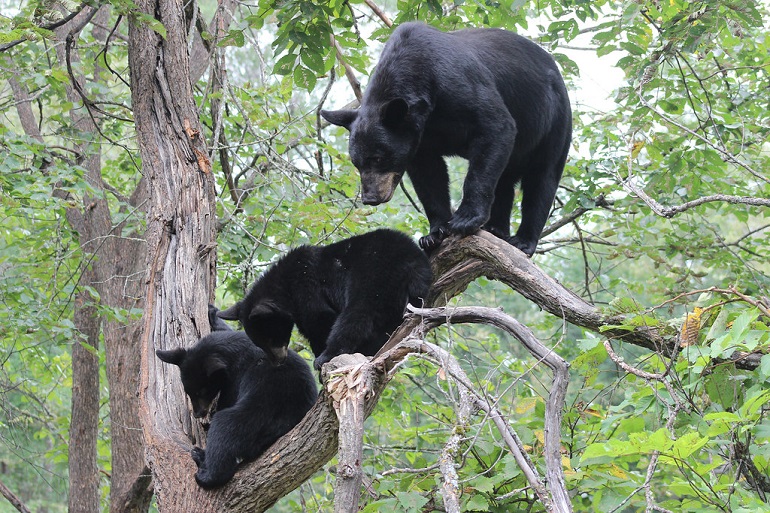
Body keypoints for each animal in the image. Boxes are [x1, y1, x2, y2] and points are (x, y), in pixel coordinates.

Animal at [155, 310, 316, 486]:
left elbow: (227, 402)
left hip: (262, 413)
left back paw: (206, 470)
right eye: (188, 391)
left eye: (202, 391)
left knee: (226, 426)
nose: (198, 413)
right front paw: (213, 313)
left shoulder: (236, 378)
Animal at [216, 228, 432, 368]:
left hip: (372, 276)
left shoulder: (306, 287)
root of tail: (409, 261)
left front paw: (320, 353)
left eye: (270, 338)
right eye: (259, 342)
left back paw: (329, 355)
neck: (284, 285)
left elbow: (320, 319)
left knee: (356, 315)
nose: (278, 361)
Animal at [320, 22, 568, 256]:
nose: (370, 197)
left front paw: (465, 219)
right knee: (505, 180)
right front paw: (433, 234)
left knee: (542, 179)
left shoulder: (459, 84)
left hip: (553, 122)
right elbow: (429, 176)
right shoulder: (421, 137)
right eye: (356, 163)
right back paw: (496, 230)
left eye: (378, 158)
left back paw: (523, 240)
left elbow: (496, 126)